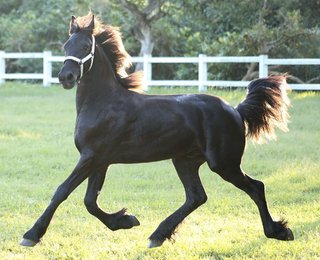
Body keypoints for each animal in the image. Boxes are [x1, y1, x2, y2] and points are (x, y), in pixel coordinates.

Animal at [20, 12, 292, 248]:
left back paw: (278, 231)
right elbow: (90, 201)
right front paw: (125, 220)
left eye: (86, 46)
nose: (65, 76)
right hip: (185, 161)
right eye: (66, 45)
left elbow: (62, 191)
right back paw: (158, 235)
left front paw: (31, 235)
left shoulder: (91, 157)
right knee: (197, 196)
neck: (103, 103)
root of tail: (235, 110)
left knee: (255, 187)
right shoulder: (100, 160)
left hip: (224, 163)